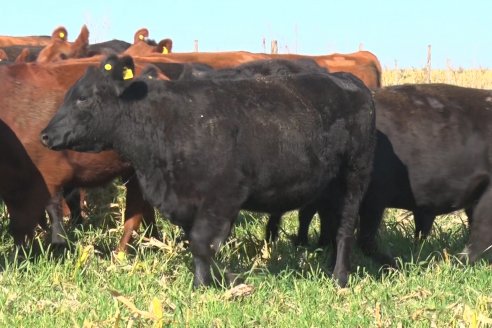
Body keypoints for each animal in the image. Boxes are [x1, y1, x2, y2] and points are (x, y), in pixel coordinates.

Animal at [41, 56, 376, 288]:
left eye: (83, 97)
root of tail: (348, 80)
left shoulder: (223, 197)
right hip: (330, 186)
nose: (45, 135)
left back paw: (340, 277)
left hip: (354, 178)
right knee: (331, 225)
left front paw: (203, 285)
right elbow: (197, 245)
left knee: (345, 229)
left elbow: (202, 244)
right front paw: (215, 278)